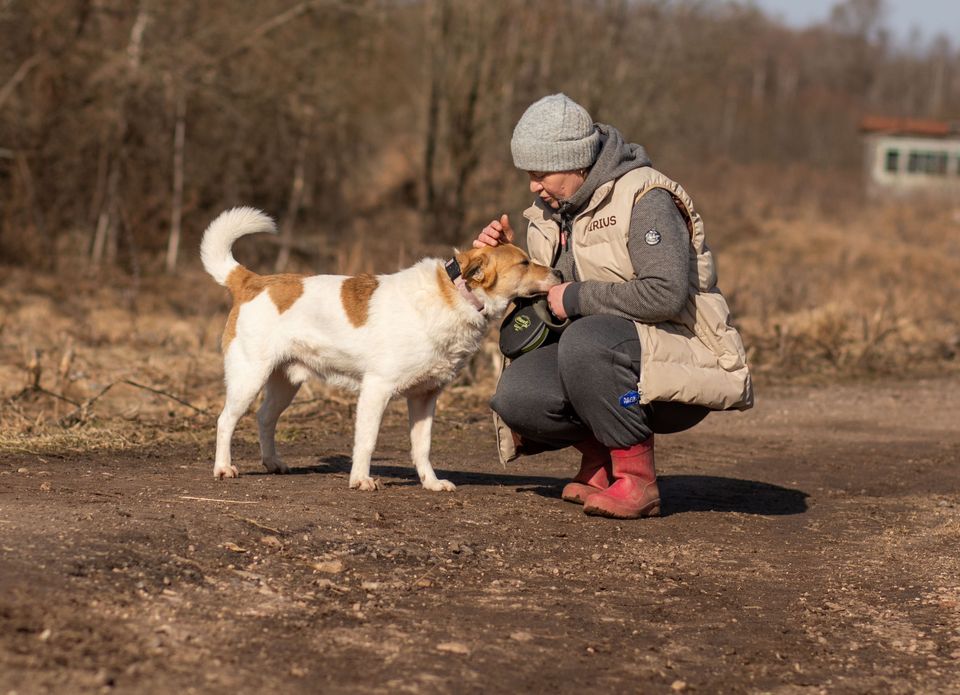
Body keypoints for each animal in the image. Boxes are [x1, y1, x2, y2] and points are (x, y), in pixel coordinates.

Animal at [202, 209, 564, 492]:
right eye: (524, 262)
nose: (560, 272)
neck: (455, 295)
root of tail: (252, 281)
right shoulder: (376, 390)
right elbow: (367, 441)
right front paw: (361, 479)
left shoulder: (425, 397)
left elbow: (422, 447)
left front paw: (431, 482)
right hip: (249, 378)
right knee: (225, 421)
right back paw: (223, 468)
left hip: (285, 383)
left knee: (264, 418)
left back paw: (273, 462)